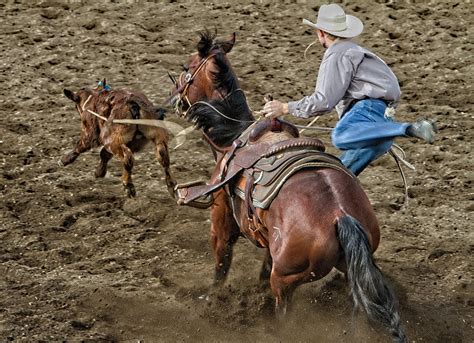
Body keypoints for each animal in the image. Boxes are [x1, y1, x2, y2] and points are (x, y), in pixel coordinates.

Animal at [171, 30, 408, 342]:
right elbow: (262, 264)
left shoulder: (221, 217)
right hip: (350, 268)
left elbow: (222, 260)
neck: (234, 135)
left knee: (284, 311)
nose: (175, 98)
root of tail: (341, 217)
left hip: (286, 280)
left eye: (187, 67)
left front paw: (211, 300)